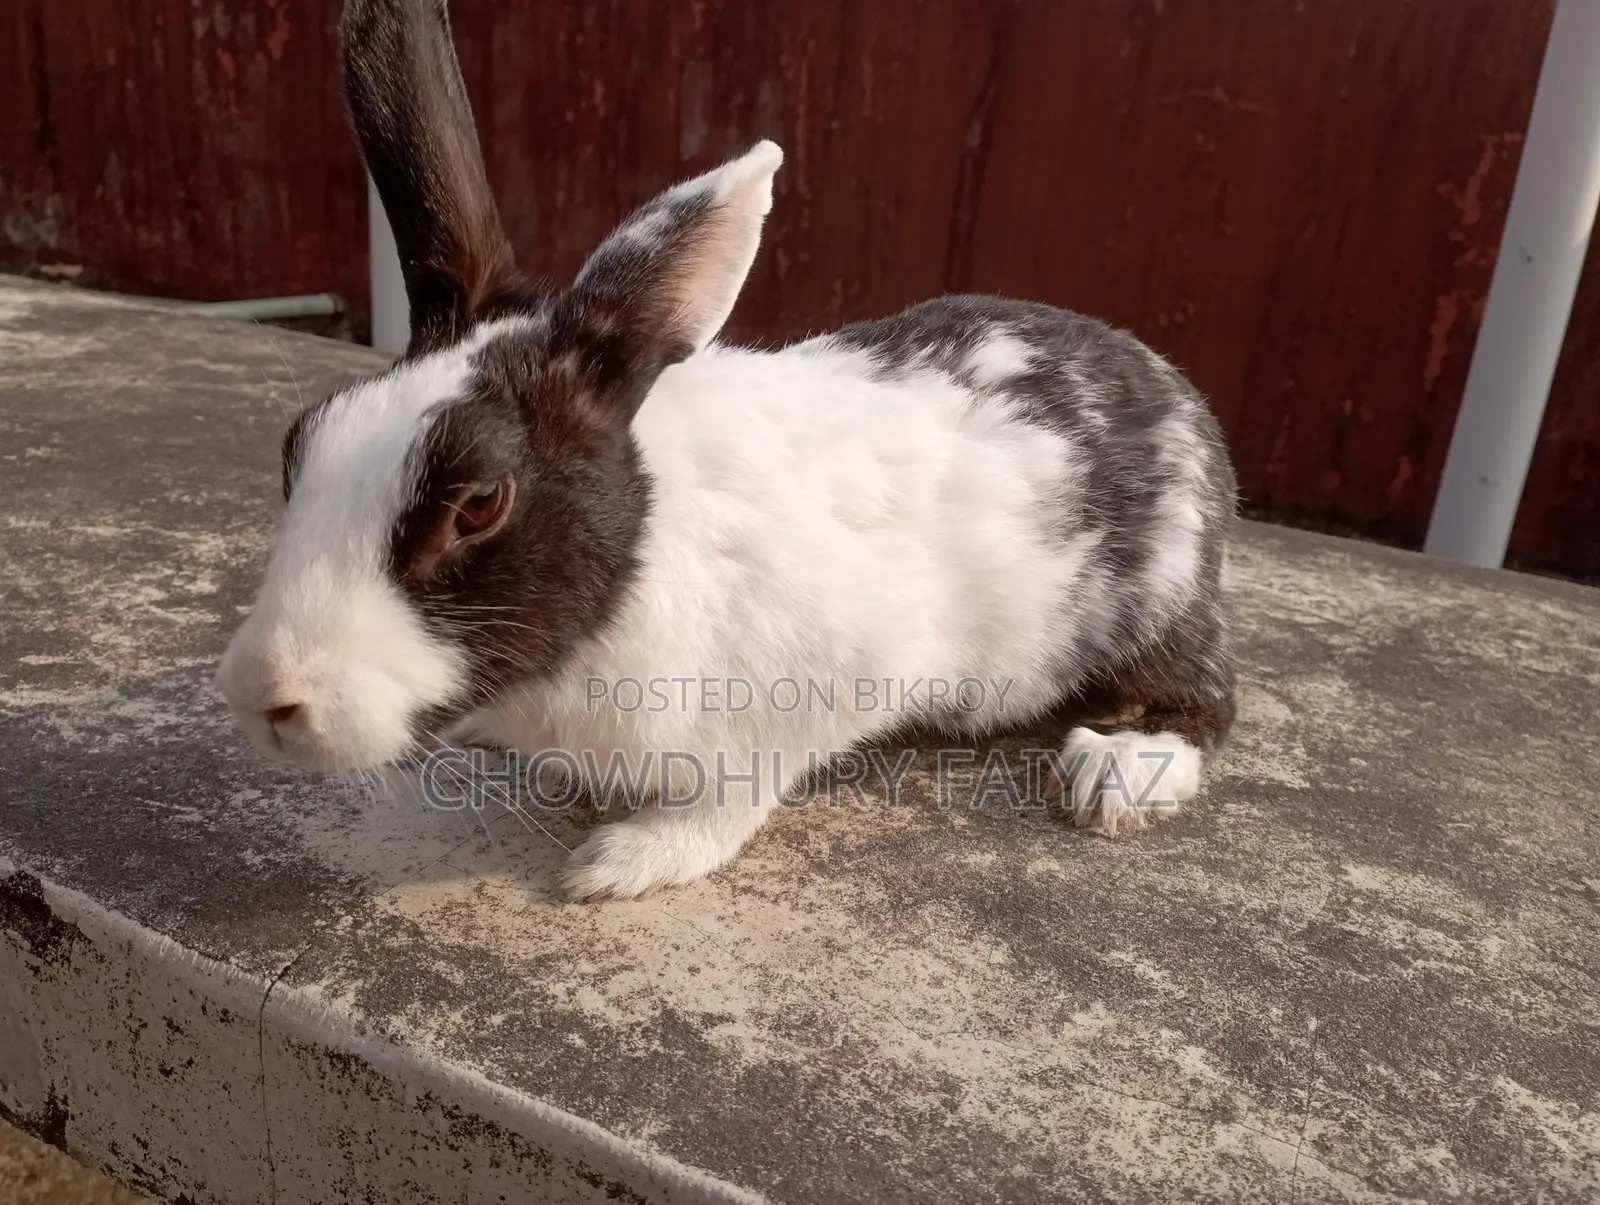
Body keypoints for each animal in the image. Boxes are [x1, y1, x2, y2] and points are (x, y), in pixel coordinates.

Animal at [214, 0, 1238, 901]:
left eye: (479, 503)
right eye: (300, 445)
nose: (262, 696)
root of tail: (1178, 394)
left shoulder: (817, 690)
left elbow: (732, 798)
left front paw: (622, 862)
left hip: (1158, 611)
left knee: (1211, 700)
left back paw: (1118, 772)